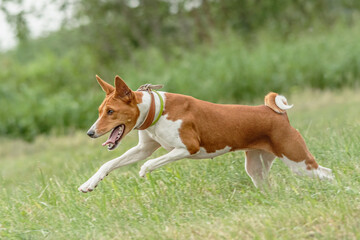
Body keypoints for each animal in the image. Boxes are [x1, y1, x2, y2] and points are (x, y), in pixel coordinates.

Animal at [77, 75, 334, 193]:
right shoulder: (143, 148)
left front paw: (144, 171)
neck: (156, 111)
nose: (90, 132)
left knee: (327, 173)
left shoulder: (186, 148)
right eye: (100, 111)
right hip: (256, 167)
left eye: (110, 112)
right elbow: (109, 164)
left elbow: (152, 163)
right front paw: (89, 183)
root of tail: (277, 114)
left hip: (297, 161)